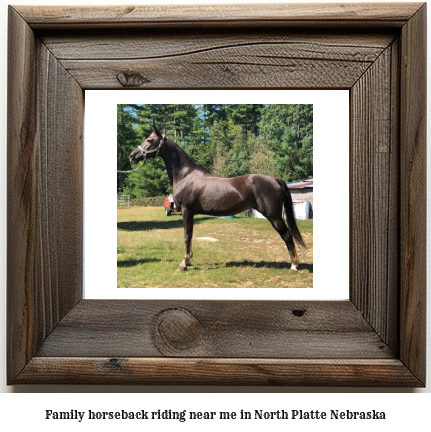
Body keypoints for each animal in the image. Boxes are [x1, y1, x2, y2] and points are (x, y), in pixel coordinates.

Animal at [130, 125, 306, 272]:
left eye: (149, 140)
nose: (132, 156)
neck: (186, 176)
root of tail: (275, 179)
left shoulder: (187, 211)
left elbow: (186, 236)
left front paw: (183, 263)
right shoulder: (191, 213)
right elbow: (190, 236)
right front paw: (189, 260)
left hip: (274, 216)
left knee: (287, 235)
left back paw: (294, 265)